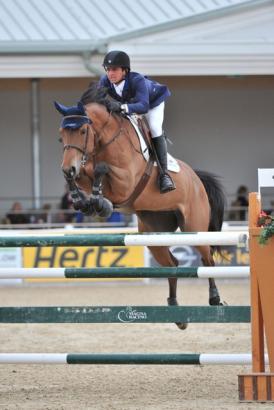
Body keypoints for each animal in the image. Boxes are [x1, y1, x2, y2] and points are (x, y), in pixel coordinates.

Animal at [54, 84, 226, 330]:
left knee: (207, 259)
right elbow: (84, 175)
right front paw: (84, 201)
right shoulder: (85, 171)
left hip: (194, 226)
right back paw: (176, 311)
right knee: (172, 263)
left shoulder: (126, 182)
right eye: (61, 136)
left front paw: (100, 203)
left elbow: (101, 169)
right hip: (153, 233)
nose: (68, 167)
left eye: (83, 132)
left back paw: (215, 298)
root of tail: (196, 179)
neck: (106, 140)